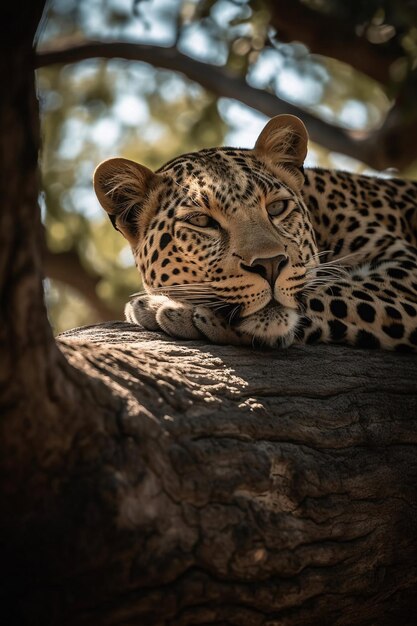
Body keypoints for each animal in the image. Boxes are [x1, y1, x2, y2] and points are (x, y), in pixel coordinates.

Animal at [93, 113, 416, 352]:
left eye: (276, 207)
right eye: (202, 221)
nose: (269, 265)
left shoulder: (405, 267)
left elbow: (331, 290)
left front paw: (174, 309)